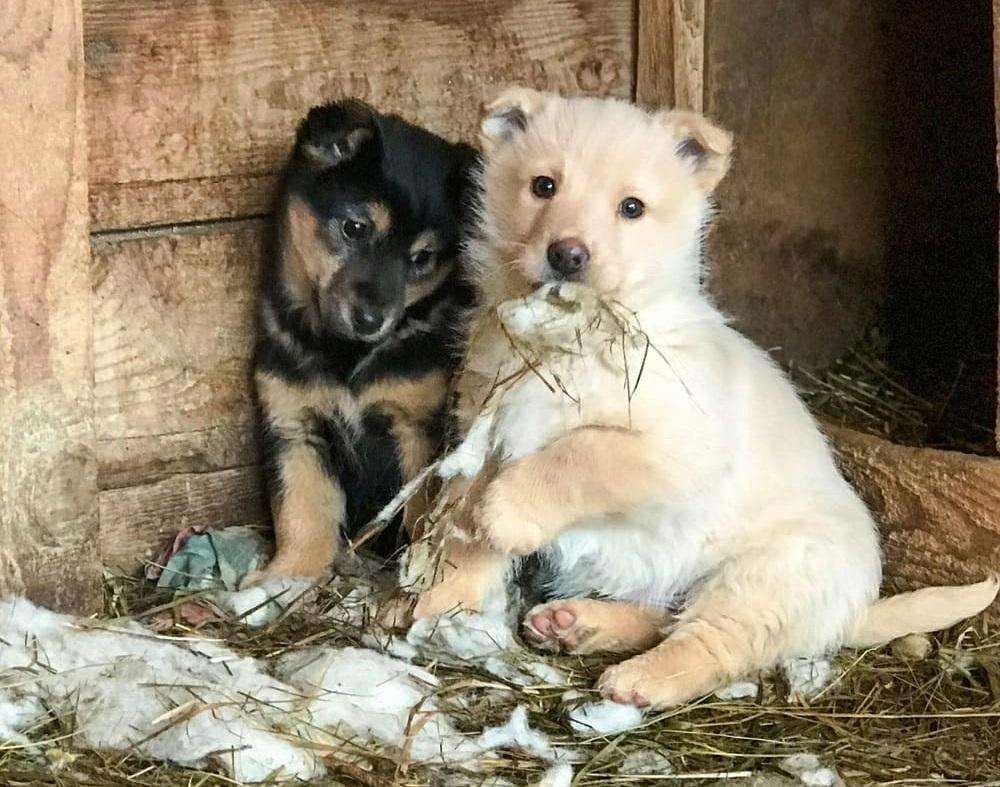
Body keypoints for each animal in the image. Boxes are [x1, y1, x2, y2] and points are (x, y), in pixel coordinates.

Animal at [244, 100, 474, 584]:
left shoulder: (417, 428)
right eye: (354, 228)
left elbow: (418, 511)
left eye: (422, 258)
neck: (345, 356)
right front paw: (287, 575)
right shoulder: (296, 425)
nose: (370, 320)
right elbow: (301, 512)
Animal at [410, 89, 996, 712]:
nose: (568, 254)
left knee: (707, 643)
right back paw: (574, 624)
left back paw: (639, 679)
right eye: (543, 186)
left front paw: (509, 513)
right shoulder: (483, 435)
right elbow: (464, 532)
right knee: (661, 615)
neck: (564, 340)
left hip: (763, 578)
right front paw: (438, 603)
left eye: (633, 207)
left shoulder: (680, 446)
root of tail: (853, 609)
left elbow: (579, 457)